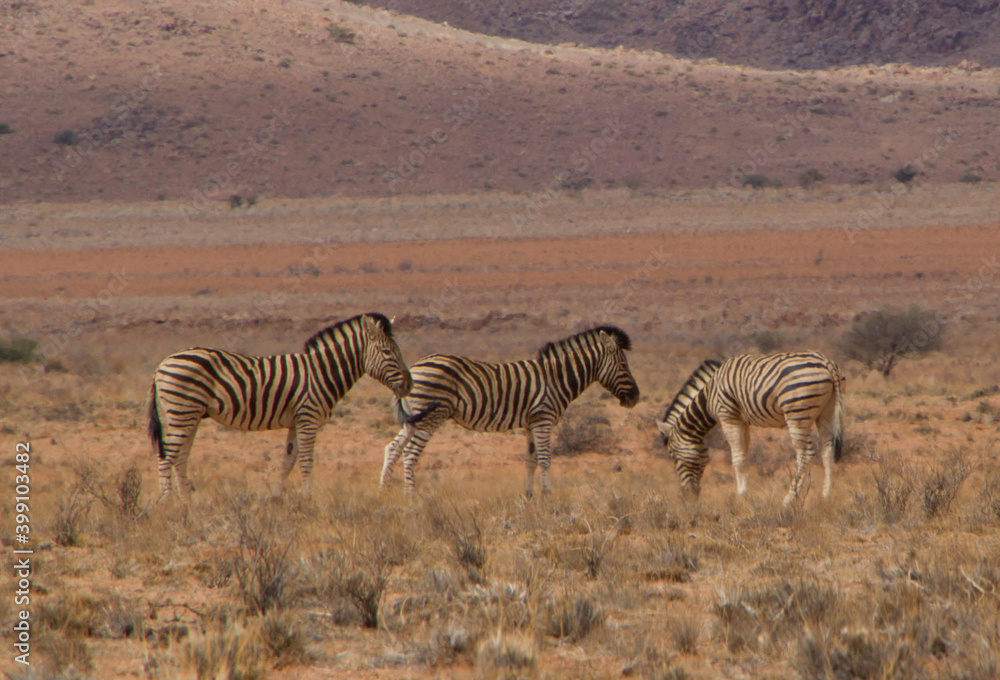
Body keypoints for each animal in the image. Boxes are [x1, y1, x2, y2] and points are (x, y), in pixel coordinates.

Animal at [148, 313, 411, 502]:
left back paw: (187, 501)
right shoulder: (308, 418)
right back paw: (167, 502)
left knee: (180, 457)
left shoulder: (297, 421)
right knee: (167, 455)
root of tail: (162, 364)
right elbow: (306, 460)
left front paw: (276, 497)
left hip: (190, 415)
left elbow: (288, 460)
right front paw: (308, 499)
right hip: (181, 411)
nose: (409, 384)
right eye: (387, 352)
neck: (321, 372)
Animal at [380, 326, 640, 497]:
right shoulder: (543, 420)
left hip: (413, 418)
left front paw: (529, 497)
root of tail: (412, 369)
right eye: (623, 365)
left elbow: (531, 460)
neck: (556, 379)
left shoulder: (531, 423)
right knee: (410, 454)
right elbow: (545, 459)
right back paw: (411, 499)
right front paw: (549, 496)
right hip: (430, 416)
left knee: (392, 449)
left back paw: (384, 492)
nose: (636, 398)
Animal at [656, 351, 845, 506]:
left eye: (673, 456)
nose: (688, 497)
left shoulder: (728, 417)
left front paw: (740, 496)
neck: (709, 396)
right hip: (826, 412)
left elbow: (737, 459)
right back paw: (825, 496)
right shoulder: (743, 421)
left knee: (805, 454)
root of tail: (826, 362)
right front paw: (745, 493)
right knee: (827, 450)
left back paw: (788, 500)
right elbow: (744, 457)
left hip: (797, 413)